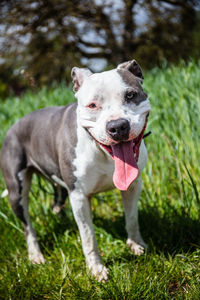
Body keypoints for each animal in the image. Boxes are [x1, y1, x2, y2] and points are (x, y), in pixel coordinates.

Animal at [0, 59, 150, 282]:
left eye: (130, 95)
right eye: (92, 105)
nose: (117, 126)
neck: (104, 153)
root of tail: (14, 125)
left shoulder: (133, 186)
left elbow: (132, 219)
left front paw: (136, 246)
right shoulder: (79, 196)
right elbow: (88, 236)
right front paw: (96, 269)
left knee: (56, 202)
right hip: (16, 192)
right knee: (28, 226)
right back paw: (36, 256)